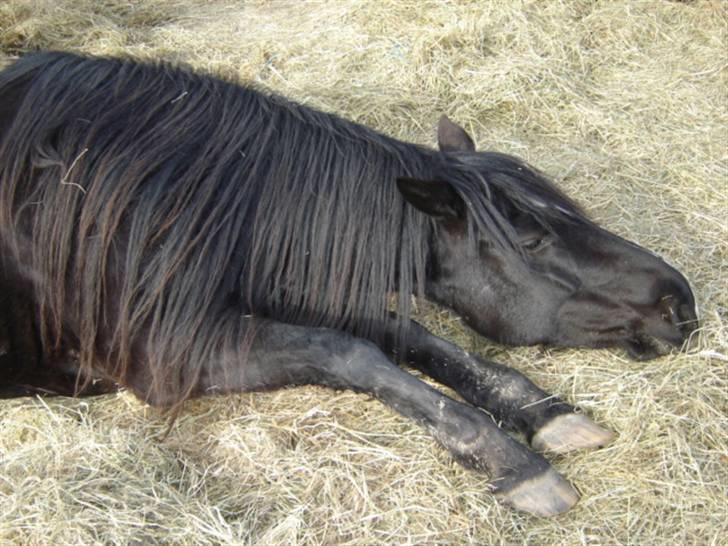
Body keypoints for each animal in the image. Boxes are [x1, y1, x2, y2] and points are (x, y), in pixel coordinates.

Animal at [0, 52, 696, 516]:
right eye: (530, 240)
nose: (678, 303)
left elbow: (410, 336)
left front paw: (541, 410)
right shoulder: (171, 357)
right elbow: (351, 352)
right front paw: (514, 462)